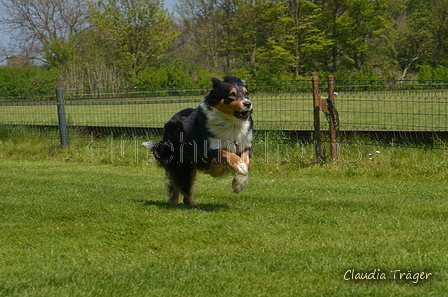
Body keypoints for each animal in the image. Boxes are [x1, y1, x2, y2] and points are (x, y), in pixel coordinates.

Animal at [145, 75, 254, 205]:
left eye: (246, 93)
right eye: (232, 94)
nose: (248, 103)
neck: (231, 124)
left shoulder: (245, 144)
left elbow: (246, 161)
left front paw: (239, 183)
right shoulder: (206, 151)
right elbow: (226, 152)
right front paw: (240, 167)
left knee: (178, 185)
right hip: (183, 164)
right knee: (183, 187)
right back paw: (186, 203)